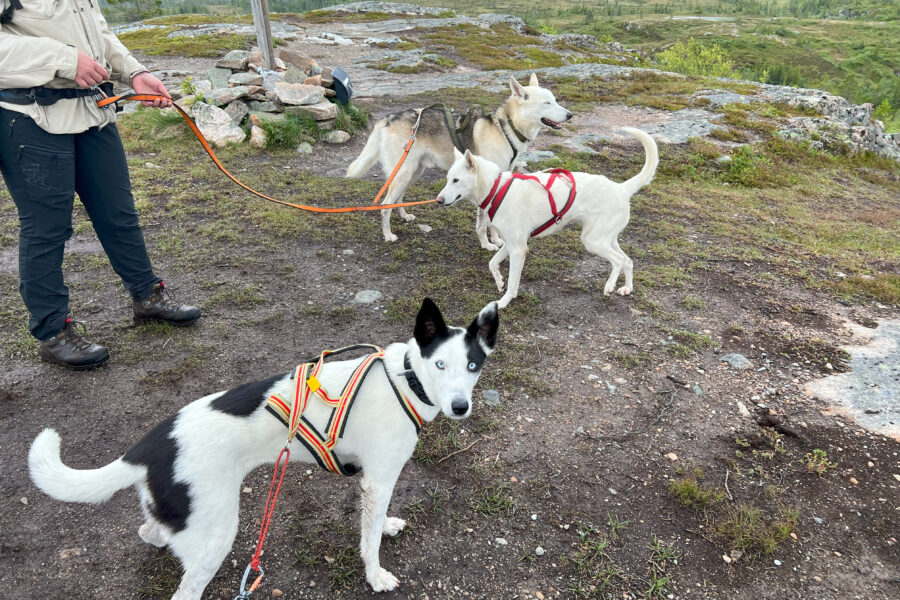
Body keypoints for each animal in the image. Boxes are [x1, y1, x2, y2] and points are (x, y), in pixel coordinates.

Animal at [28, 298, 502, 596]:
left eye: (473, 365)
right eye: (439, 364)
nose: (460, 407)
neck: (405, 380)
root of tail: (151, 445)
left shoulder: (371, 481)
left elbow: (373, 522)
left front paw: (384, 525)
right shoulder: (380, 478)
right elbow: (369, 543)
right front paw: (376, 575)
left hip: (185, 520)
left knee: (151, 532)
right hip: (217, 534)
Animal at [344, 72, 568, 244]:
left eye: (555, 100)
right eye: (547, 103)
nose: (570, 115)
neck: (506, 128)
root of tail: (390, 118)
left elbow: (492, 221)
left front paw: (495, 239)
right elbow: (483, 222)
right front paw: (487, 243)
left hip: (413, 172)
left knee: (396, 199)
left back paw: (404, 216)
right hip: (403, 173)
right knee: (384, 206)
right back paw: (388, 234)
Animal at [438, 130, 660, 310]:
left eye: (456, 180)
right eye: (448, 178)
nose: (439, 200)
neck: (497, 188)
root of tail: (621, 188)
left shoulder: (519, 249)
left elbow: (513, 284)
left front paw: (504, 301)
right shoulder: (511, 244)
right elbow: (492, 263)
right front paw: (499, 281)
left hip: (593, 241)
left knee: (619, 261)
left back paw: (609, 286)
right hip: (606, 239)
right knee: (628, 261)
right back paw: (626, 288)